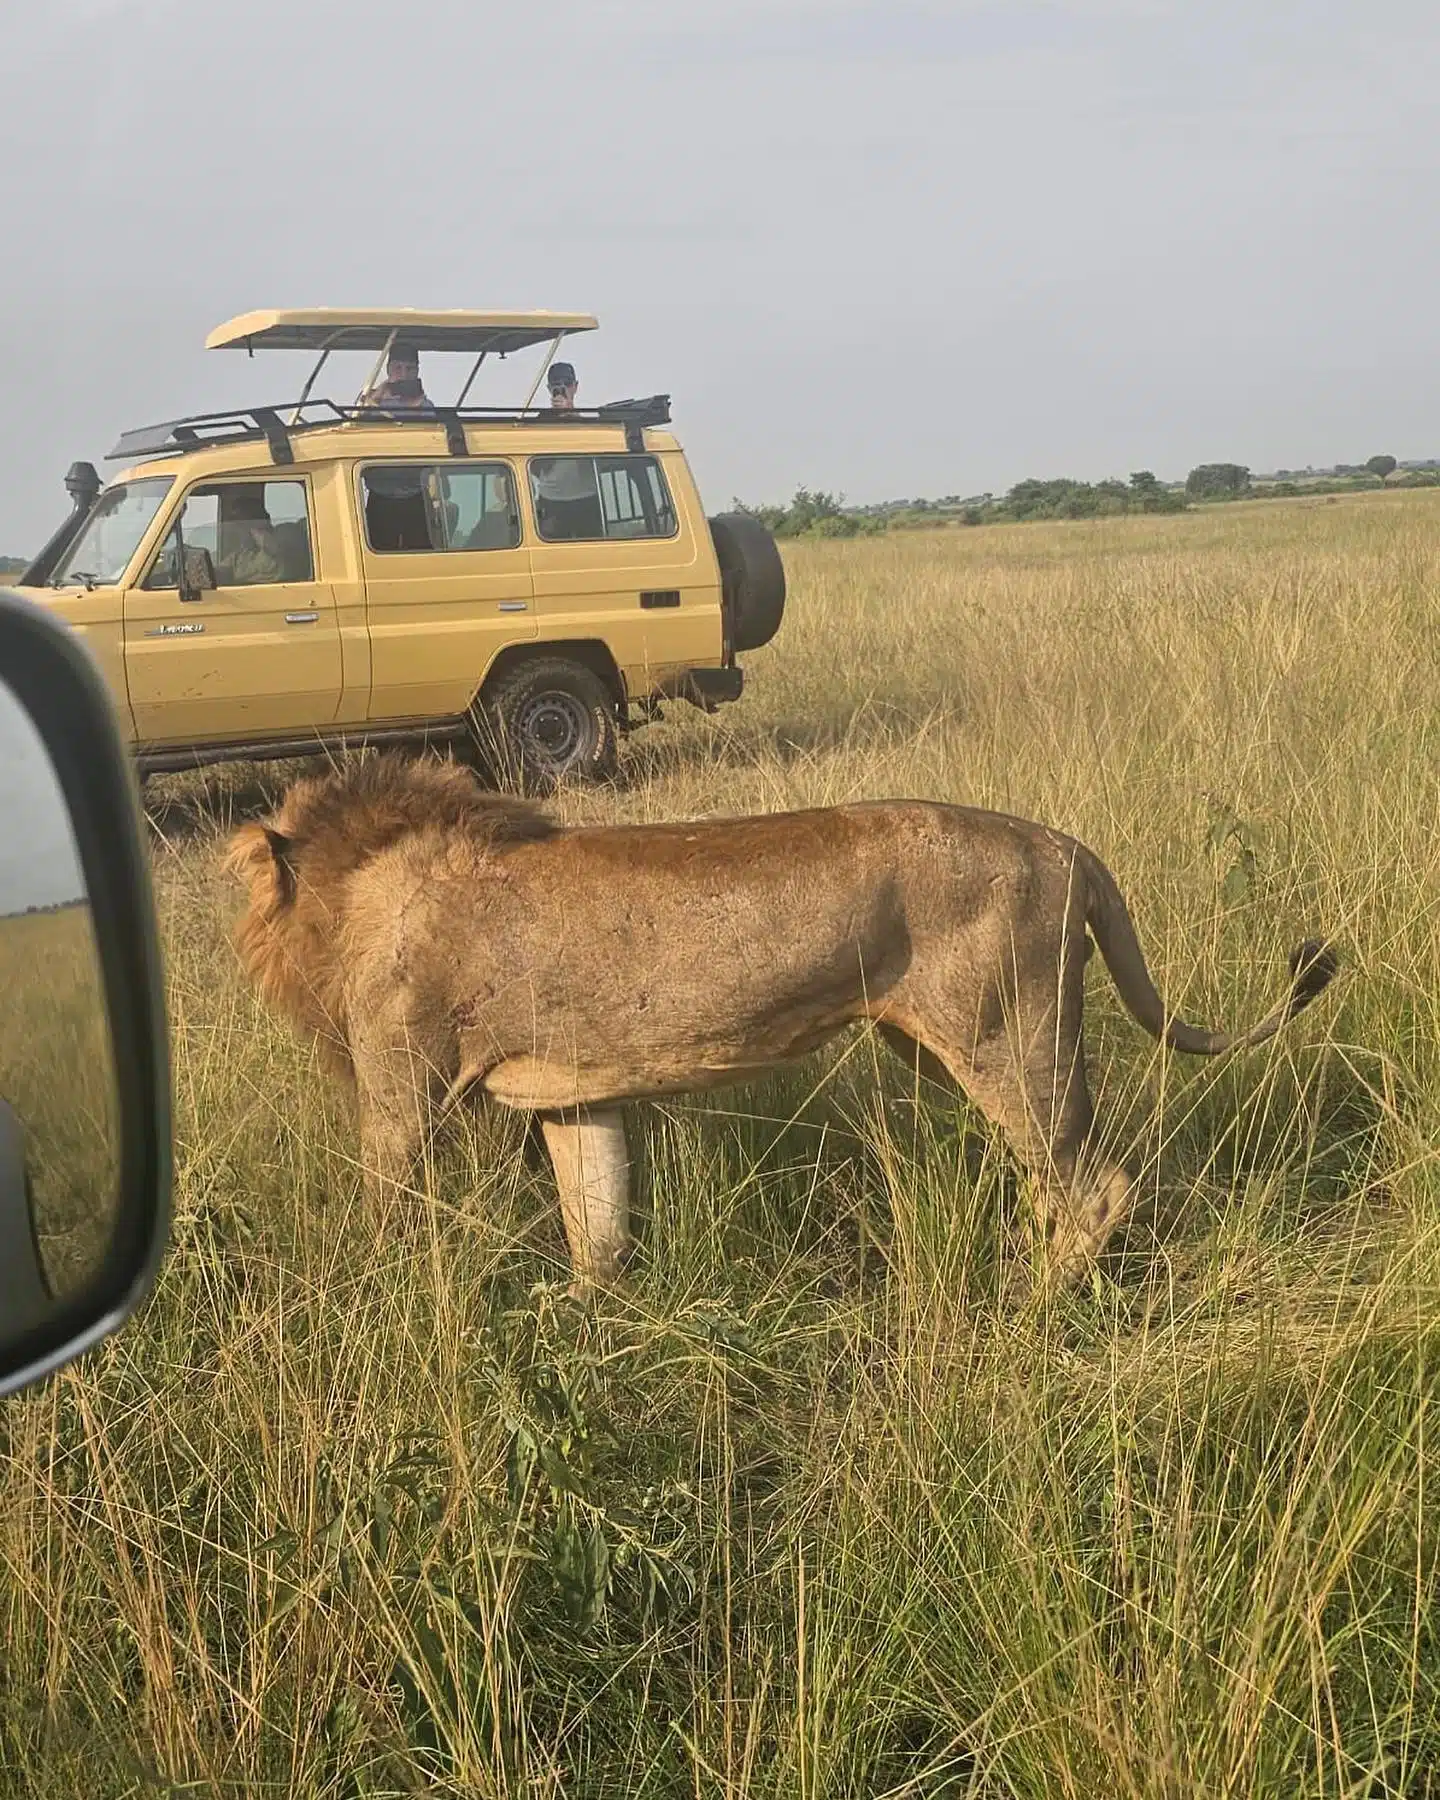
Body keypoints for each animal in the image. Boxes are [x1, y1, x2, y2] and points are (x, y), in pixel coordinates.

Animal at [225, 755, 1337, 1293]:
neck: (356, 883)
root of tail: (1071, 847)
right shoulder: (576, 1097)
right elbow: (599, 1231)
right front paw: (590, 1333)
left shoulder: (401, 1094)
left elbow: (387, 1222)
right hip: (952, 1045)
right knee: (1060, 1183)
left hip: (1006, 1037)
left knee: (1097, 1187)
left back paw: (1032, 1310)